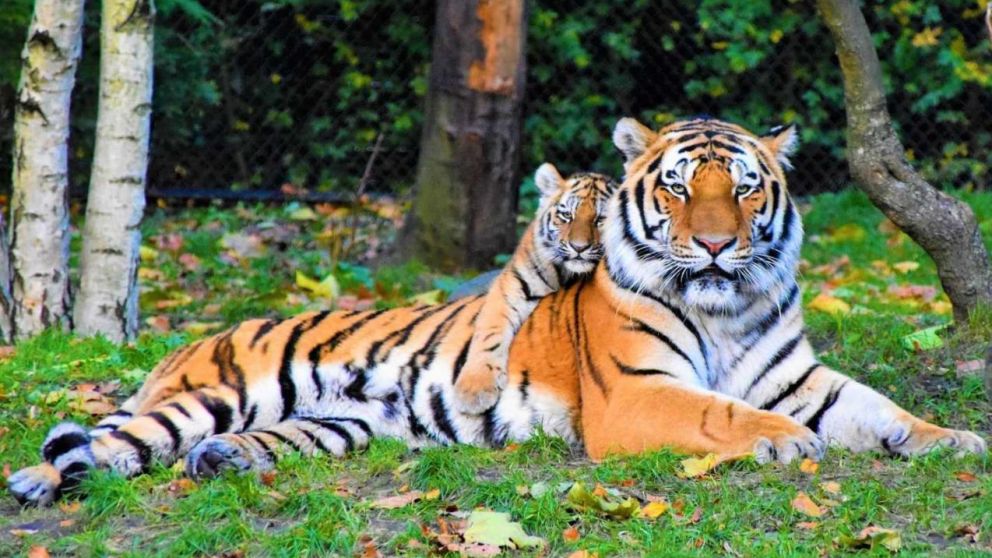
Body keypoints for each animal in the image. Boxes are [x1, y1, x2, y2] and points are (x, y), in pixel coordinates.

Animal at [453, 163, 616, 414]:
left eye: (600, 219)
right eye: (566, 216)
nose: (579, 248)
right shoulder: (511, 285)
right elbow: (489, 332)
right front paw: (474, 390)